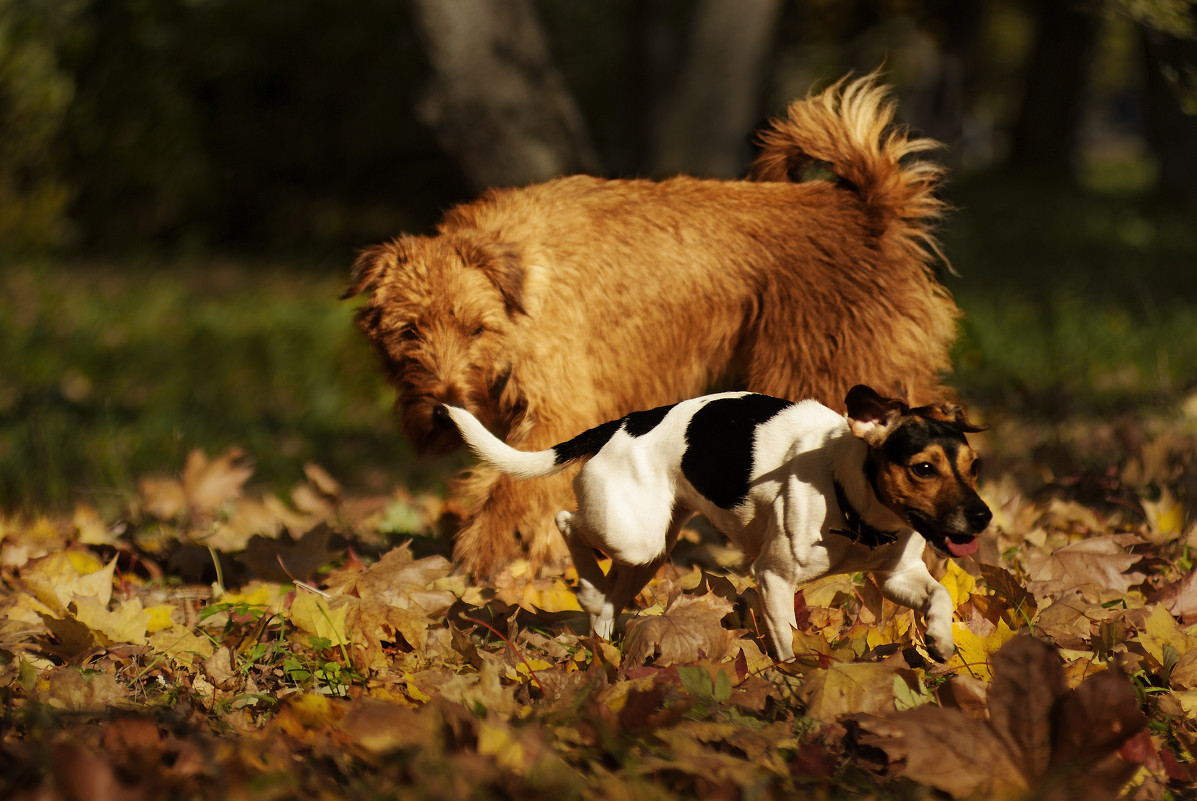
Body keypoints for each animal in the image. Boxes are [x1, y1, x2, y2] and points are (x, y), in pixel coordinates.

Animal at [347, 74, 962, 577]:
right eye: (409, 332)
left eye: (475, 329)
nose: (442, 412)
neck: (520, 280)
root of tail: (870, 212)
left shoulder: (558, 410)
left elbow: (508, 489)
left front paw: (478, 562)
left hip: (822, 373)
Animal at [440, 383, 991, 660]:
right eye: (923, 469)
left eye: (974, 465)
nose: (983, 516)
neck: (847, 491)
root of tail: (622, 424)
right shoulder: (773, 578)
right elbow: (787, 641)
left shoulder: (897, 576)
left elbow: (939, 596)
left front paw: (940, 638)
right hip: (631, 537)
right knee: (565, 522)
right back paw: (590, 588)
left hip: (650, 552)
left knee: (610, 598)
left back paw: (604, 638)